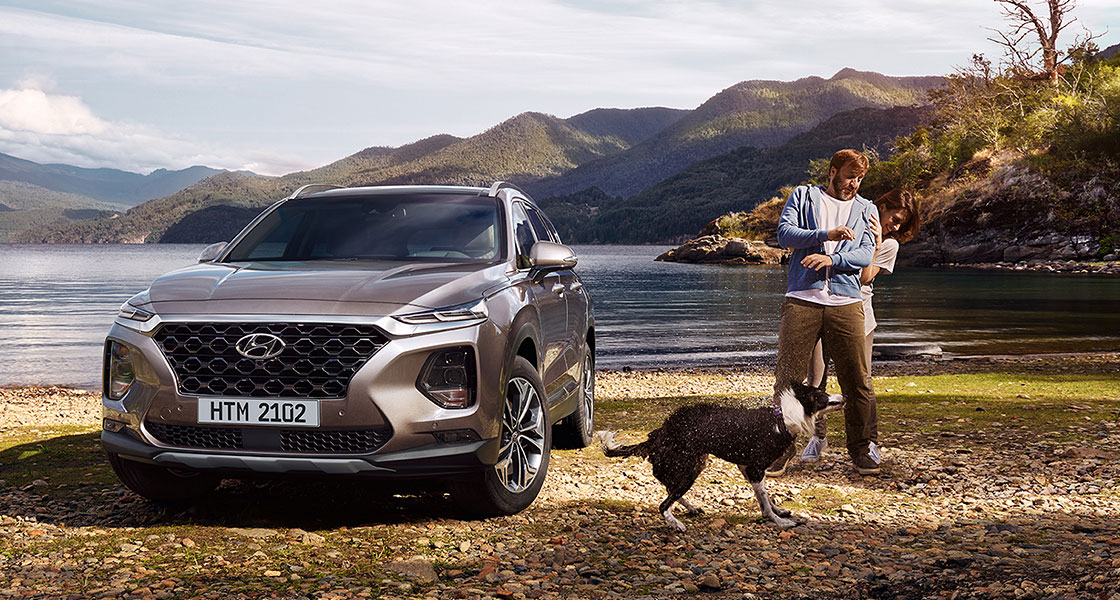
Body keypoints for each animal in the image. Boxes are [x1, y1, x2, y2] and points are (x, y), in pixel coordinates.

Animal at [604, 380, 842, 530]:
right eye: (821, 396)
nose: (843, 396)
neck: (783, 419)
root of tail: (659, 434)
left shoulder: (746, 468)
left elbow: (764, 497)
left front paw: (778, 511)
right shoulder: (755, 469)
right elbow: (764, 501)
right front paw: (777, 521)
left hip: (689, 465)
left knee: (671, 491)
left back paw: (690, 508)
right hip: (690, 467)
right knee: (664, 504)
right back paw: (676, 524)